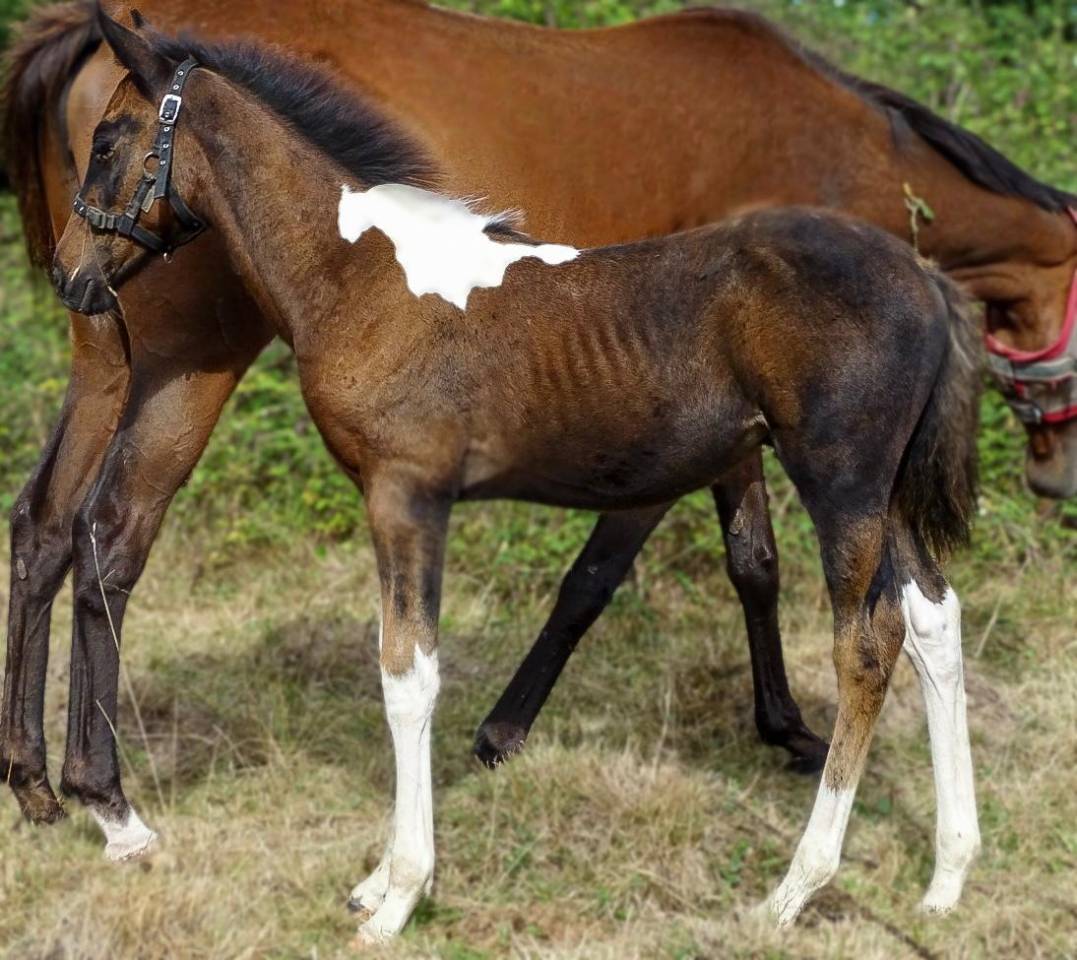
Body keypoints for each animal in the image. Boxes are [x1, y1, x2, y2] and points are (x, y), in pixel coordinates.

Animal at [2, 0, 1073, 837]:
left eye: (112, 143)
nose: (69, 273)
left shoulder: (709, 437)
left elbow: (739, 565)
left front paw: (777, 727)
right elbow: (609, 575)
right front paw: (504, 732)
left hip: (116, 366)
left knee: (51, 524)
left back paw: (43, 786)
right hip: (179, 364)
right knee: (109, 534)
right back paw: (100, 797)